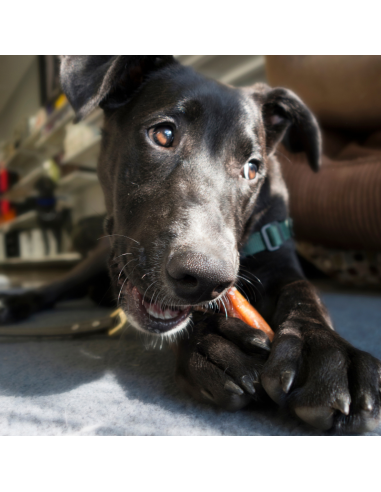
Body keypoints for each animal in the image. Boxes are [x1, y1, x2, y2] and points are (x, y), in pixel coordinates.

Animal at [4, 57, 380, 432]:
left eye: (253, 168)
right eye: (163, 134)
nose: (207, 279)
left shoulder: (279, 256)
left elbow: (304, 291)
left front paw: (327, 352)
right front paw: (212, 341)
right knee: (59, 285)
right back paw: (15, 302)